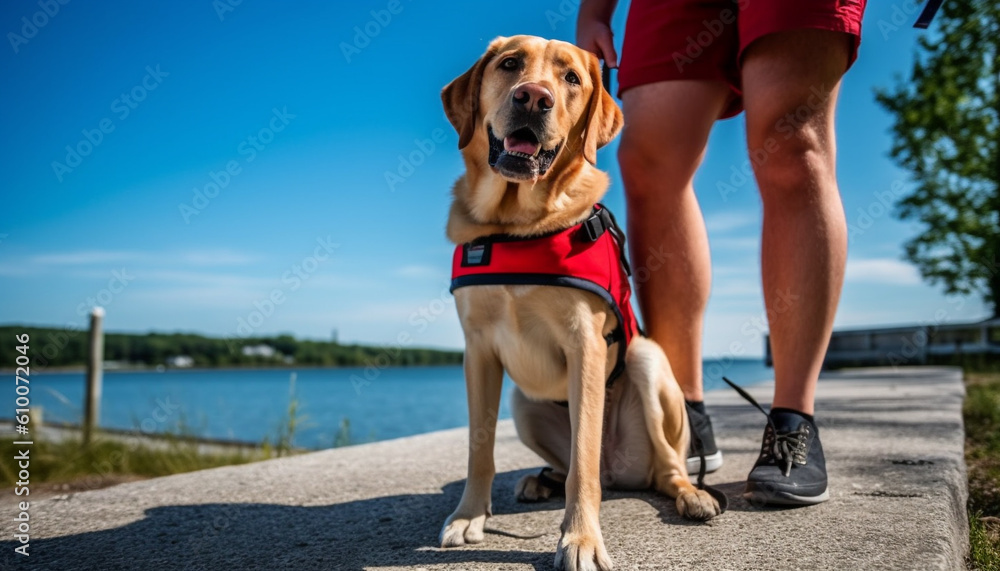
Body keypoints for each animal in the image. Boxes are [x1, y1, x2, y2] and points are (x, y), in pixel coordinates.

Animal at [438, 36, 720, 571]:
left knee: (661, 467)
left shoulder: (585, 345)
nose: (533, 98)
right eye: (510, 64)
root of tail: (621, 472)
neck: (517, 226)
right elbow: (478, 450)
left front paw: (581, 539)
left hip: (648, 363)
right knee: (572, 463)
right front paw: (468, 516)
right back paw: (539, 480)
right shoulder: (477, 351)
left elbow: (583, 463)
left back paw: (692, 496)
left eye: (571, 78)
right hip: (524, 402)